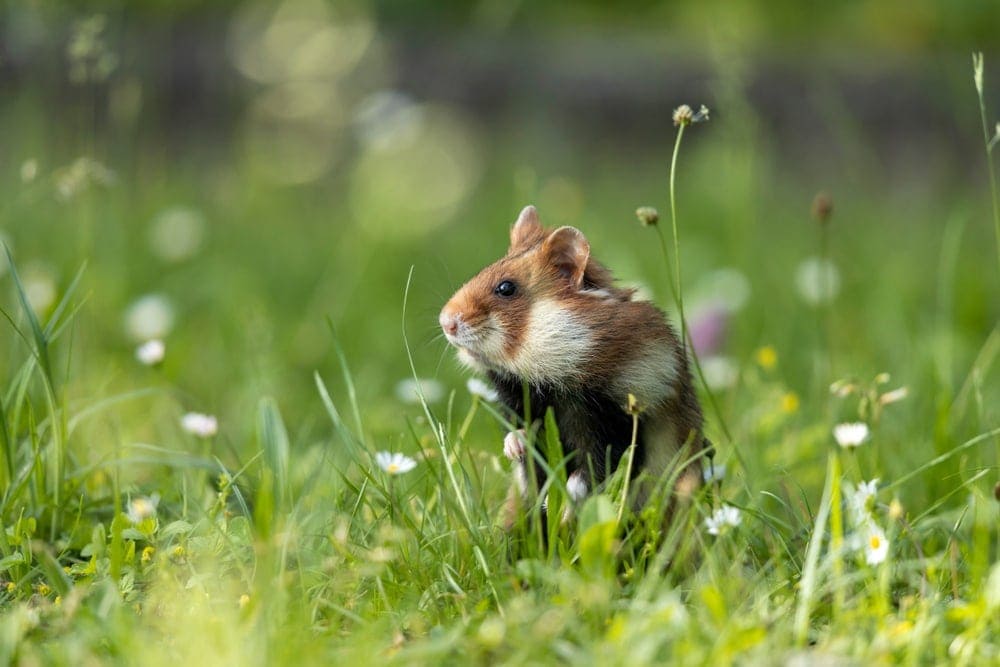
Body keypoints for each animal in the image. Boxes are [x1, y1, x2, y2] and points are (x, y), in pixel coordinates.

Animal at [439, 205, 708, 523]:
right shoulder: (520, 399)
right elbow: (521, 438)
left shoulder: (619, 420)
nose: (445, 322)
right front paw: (515, 448)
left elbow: (591, 472)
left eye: (505, 288)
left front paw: (562, 510)